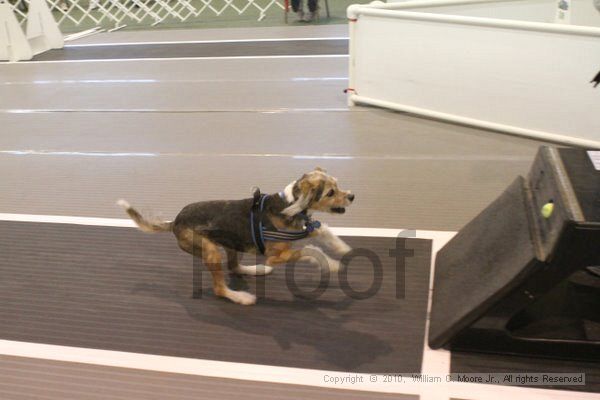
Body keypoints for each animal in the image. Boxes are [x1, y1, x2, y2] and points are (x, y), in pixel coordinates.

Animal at [118, 167, 354, 304]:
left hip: (231, 243)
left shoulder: (306, 227)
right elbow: (312, 250)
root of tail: (175, 222)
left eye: (337, 184)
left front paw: (342, 248)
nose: (352, 196)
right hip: (211, 251)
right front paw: (332, 264)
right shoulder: (278, 256)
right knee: (219, 288)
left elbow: (322, 230)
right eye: (330, 192)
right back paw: (240, 297)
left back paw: (256, 269)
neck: (290, 205)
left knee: (233, 266)